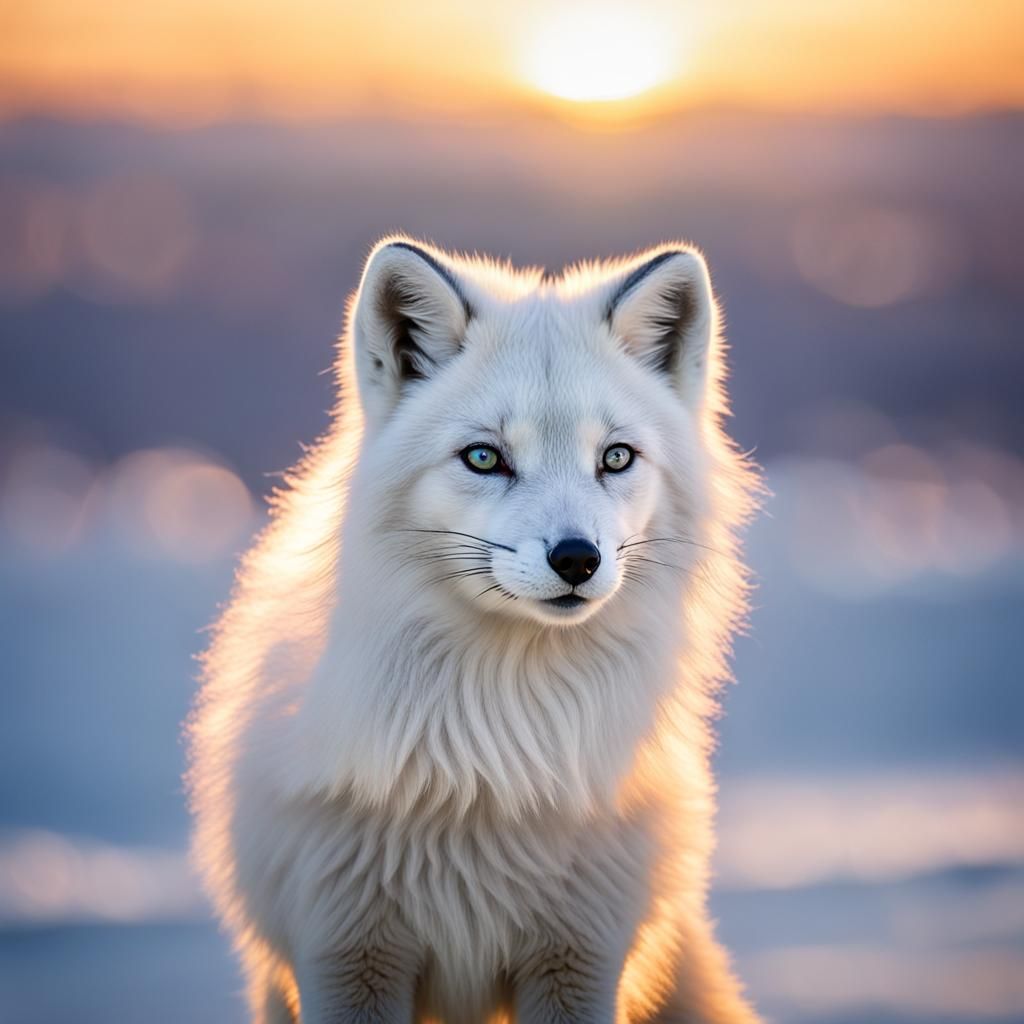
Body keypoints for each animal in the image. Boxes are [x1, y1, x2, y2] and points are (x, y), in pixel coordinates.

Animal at [187, 236, 762, 1024]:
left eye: (615, 457)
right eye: (485, 457)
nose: (576, 559)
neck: (497, 762)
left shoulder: (578, 958)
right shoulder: (348, 953)